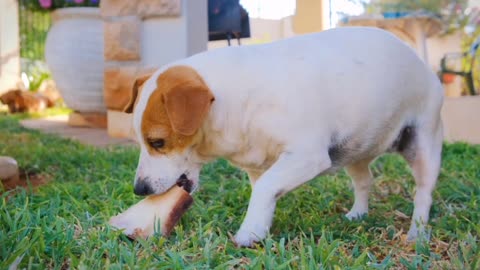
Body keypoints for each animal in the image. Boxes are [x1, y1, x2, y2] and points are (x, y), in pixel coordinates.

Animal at [123, 27, 442, 247]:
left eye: (158, 142)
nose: (139, 188)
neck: (235, 101)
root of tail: (418, 60)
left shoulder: (308, 156)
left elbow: (266, 188)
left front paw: (248, 233)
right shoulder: (255, 167)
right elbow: (262, 191)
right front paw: (260, 225)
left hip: (423, 146)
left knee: (423, 194)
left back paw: (417, 233)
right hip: (356, 150)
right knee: (364, 182)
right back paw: (358, 214)